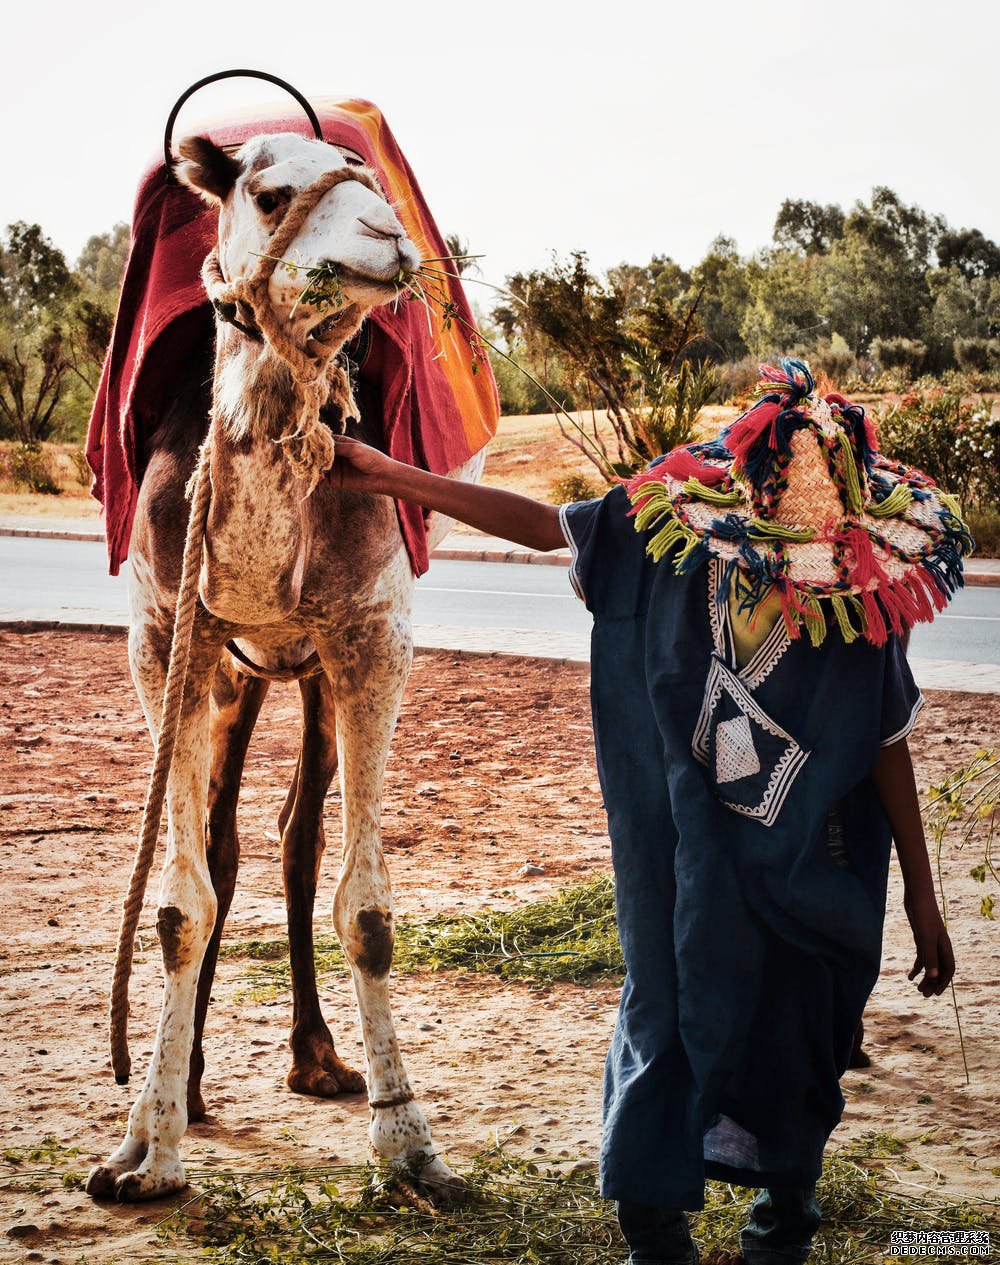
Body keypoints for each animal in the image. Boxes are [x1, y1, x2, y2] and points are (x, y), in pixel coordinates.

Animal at [84, 130, 482, 1204]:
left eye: (376, 184)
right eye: (268, 194)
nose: (390, 240)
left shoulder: (372, 638)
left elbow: (369, 907)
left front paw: (409, 1141)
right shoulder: (162, 637)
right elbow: (180, 903)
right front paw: (144, 1146)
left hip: (301, 672)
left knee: (295, 831)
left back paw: (318, 1057)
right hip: (234, 673)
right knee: (224, 843)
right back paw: (194, 1083)